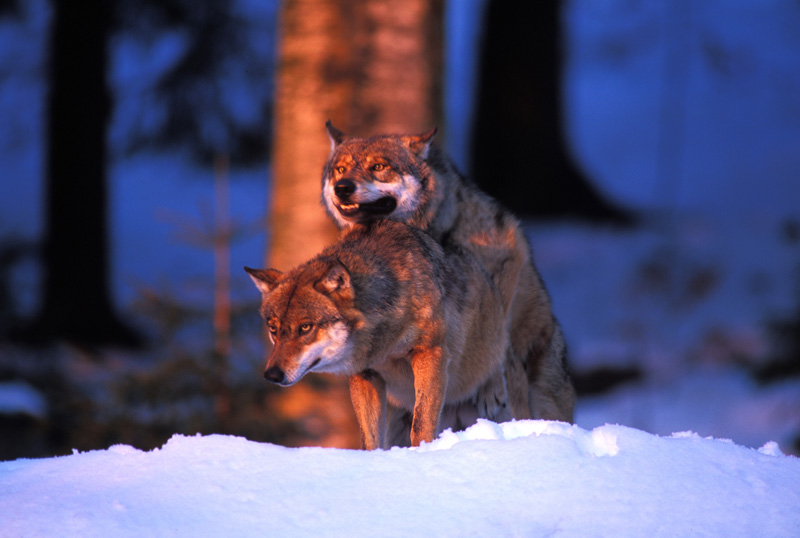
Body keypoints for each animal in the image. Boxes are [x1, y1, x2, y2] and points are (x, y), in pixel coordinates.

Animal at [245, 219, 510, 449]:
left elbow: (421, 424)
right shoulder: (365, 374)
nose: (272, 375)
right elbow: (369, 438)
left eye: (305, 327)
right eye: (273, 329)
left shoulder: (429, 353)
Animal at [321, 122, 576, 422]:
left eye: (379, 166)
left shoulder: (506, 256)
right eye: (340, 169)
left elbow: (496, 331)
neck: (432, 227)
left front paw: (491, 388)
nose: (343, 188)